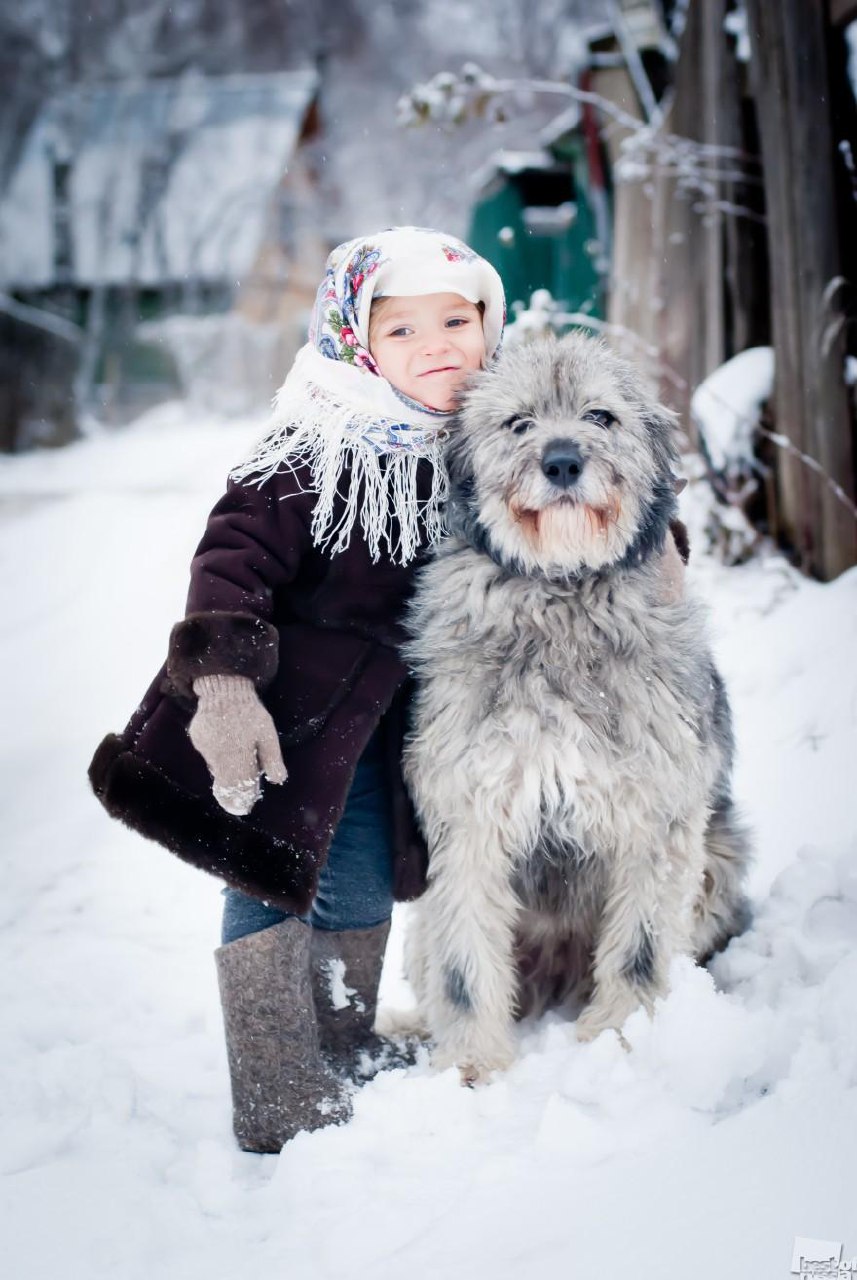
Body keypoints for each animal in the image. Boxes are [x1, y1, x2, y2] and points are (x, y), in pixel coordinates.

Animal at [399, 335, 746, 1085]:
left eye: (600, 416)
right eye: (518, 423)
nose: (561, 462)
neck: (560, 592)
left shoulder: (659, 813)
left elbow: (640, 948)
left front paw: (622, 1037)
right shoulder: (466, 812)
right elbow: (463, 968)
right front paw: (471, 1066)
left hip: (721, 858)